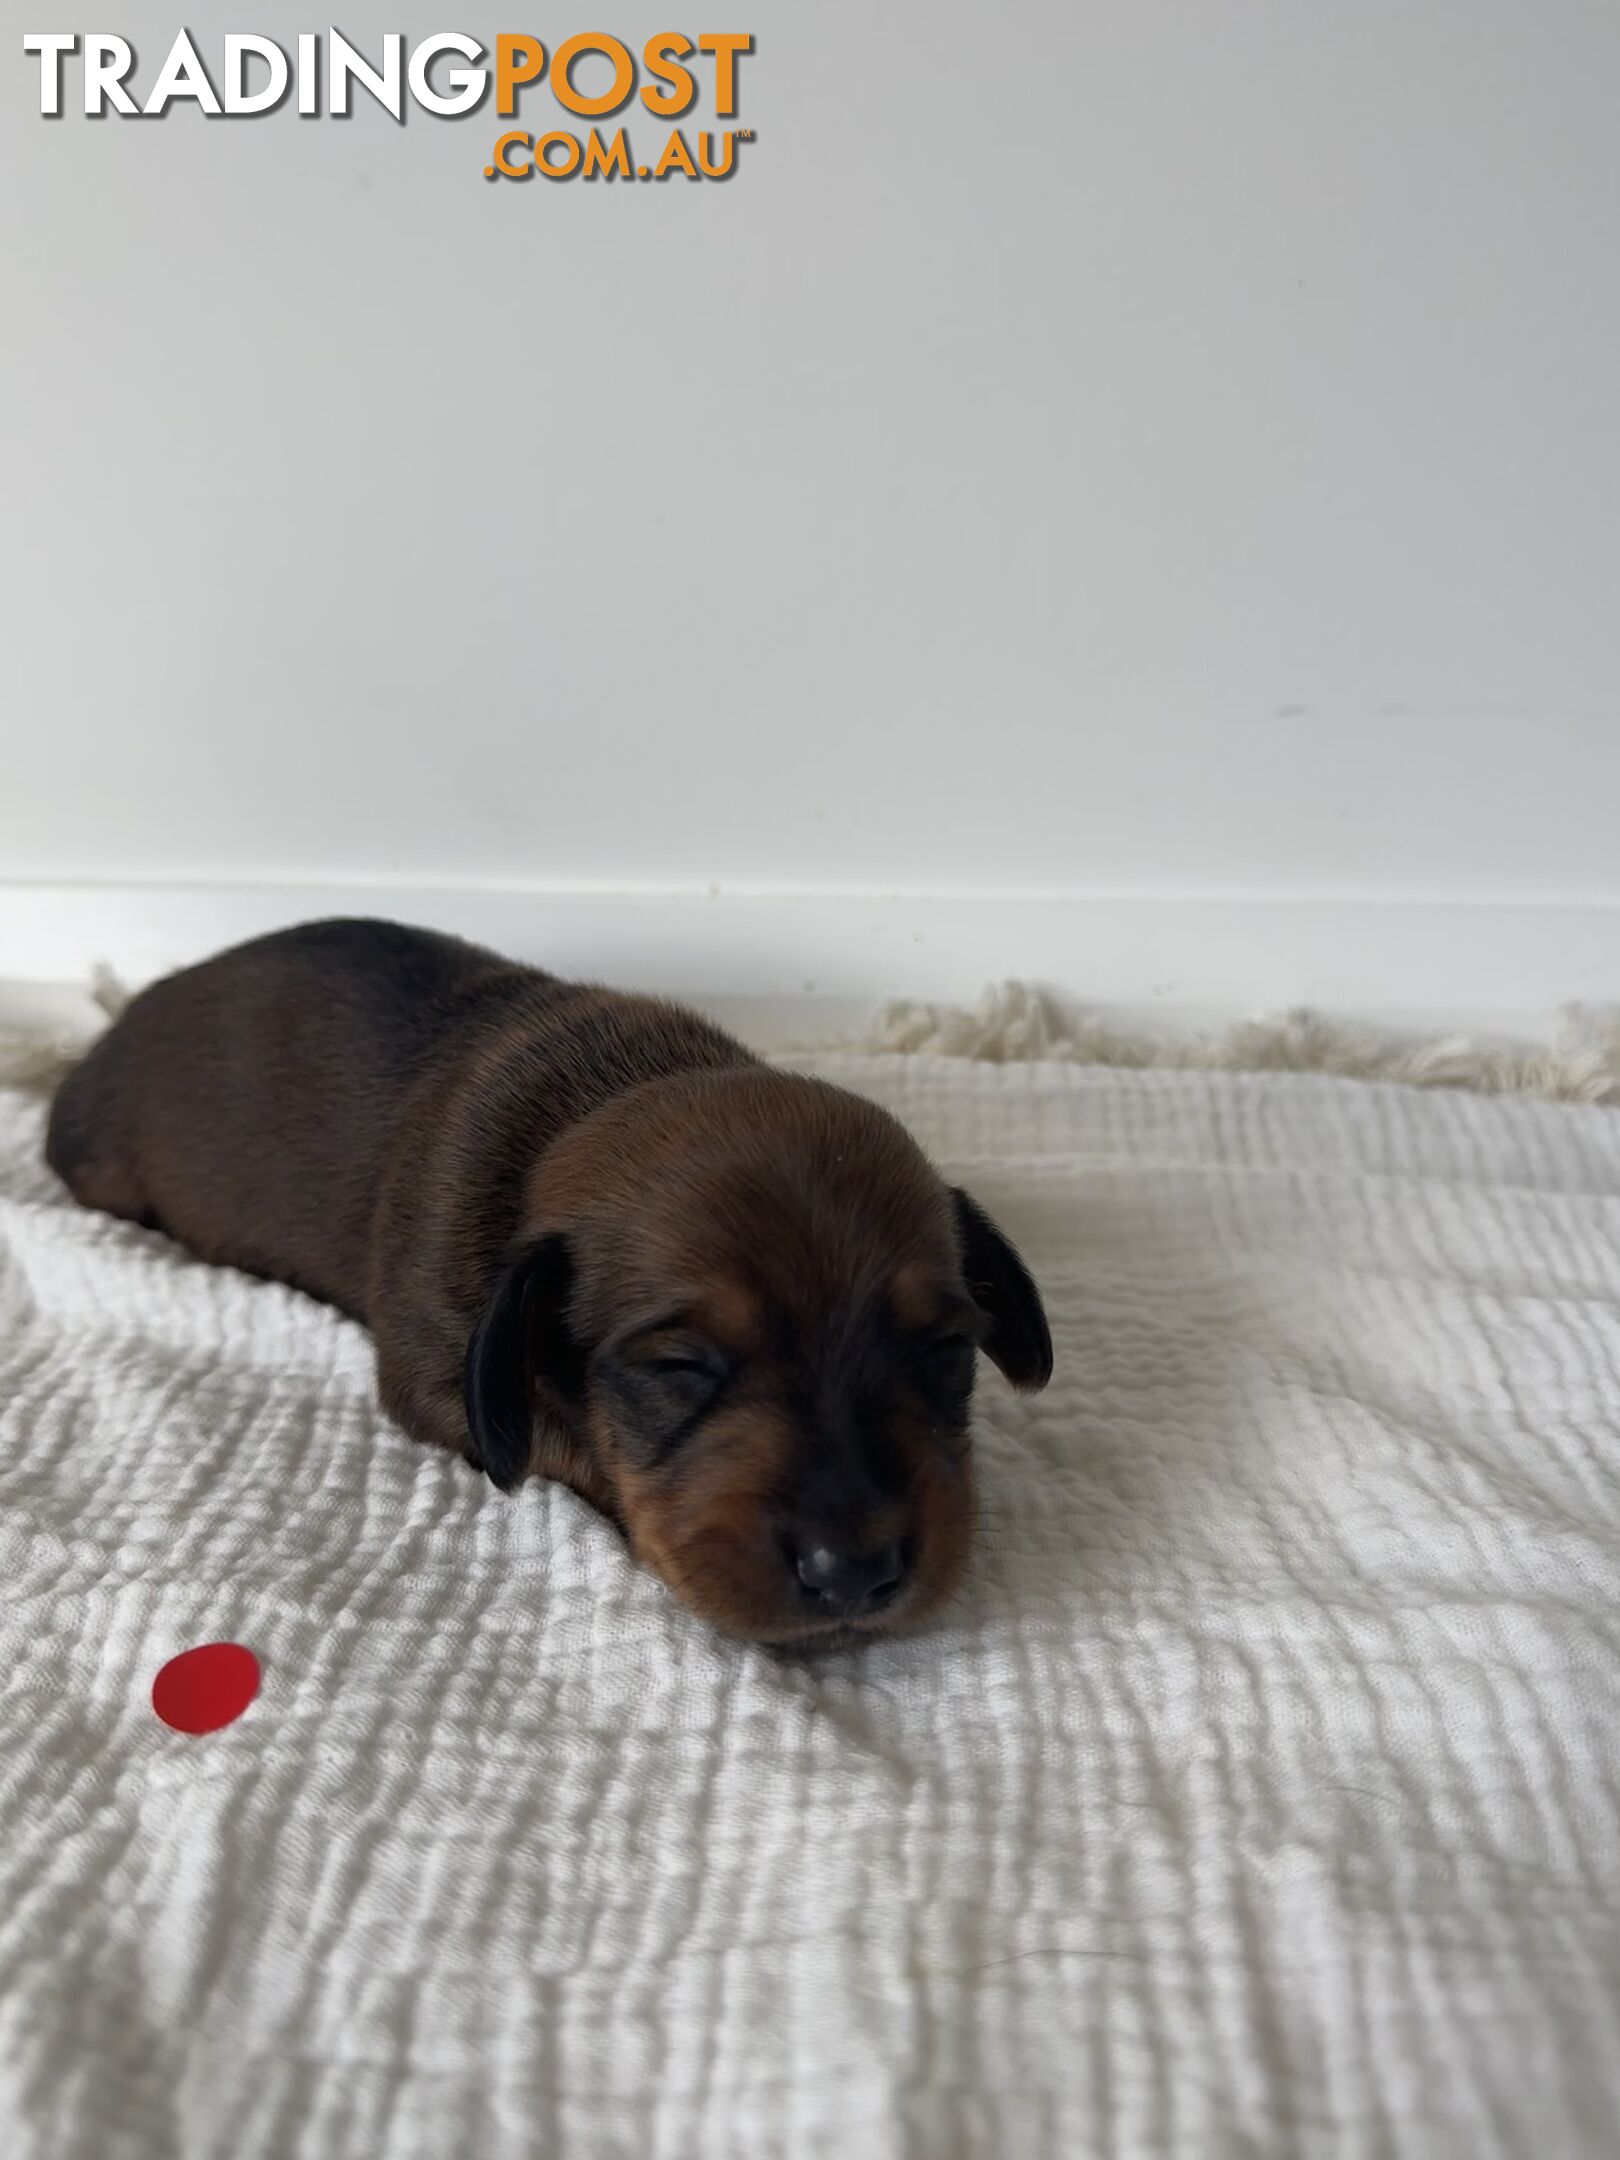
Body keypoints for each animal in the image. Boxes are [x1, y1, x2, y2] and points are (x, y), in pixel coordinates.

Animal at [47, 920, 1054, 1641]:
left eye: (947, 1350)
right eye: (678, 1369)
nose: (856, 1574)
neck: (595, 1099)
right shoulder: (436, 1380)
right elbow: (551, 1441)